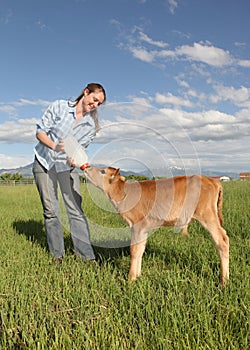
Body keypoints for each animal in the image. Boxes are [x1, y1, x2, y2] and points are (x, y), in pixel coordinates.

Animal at [85, 166, 229, 284]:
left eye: (102, 171)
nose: (86, 168)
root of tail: (212, 181)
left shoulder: (137, 225)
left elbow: (134, 250)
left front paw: (131, 278)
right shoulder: (143, 230)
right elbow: (140, 249)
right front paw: (138, 275)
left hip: (207, 215)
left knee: (222, 240)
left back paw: (224, 281)